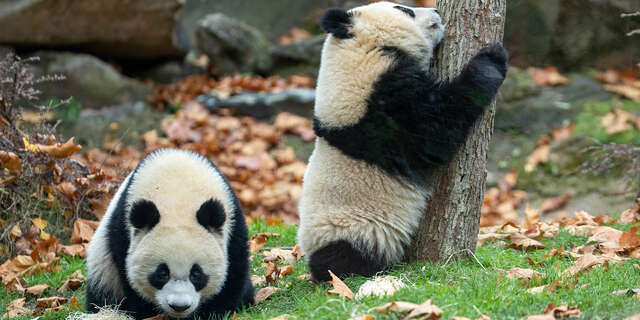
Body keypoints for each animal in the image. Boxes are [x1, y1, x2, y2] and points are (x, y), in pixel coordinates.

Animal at [85, 150, 255, 320]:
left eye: (196, 273)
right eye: (162, 273)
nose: (179, 306)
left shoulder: (233, 224)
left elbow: (233, 274)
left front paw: (213, 312)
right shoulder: (123, 231)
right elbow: (128, 278)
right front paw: (147, 312)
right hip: (104, 271)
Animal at [300, 1, 510, 282]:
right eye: (404, 9)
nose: (438, 13)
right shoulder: (378, 103)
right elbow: (435, 127)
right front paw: (491, 59)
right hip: (352, 229)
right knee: (345, 258)